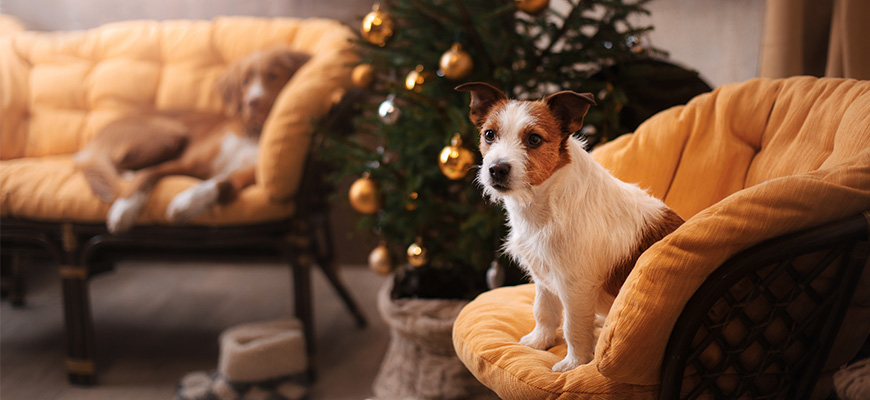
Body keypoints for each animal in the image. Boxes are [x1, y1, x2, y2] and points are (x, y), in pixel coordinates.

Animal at [76, 45, 310, 233]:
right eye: (245, 82)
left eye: (273, 76)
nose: (252, 102)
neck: (254, 132)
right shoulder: (189, 163)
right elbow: (146, 176)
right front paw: (123, 211)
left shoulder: (244, 177)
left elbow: (220, 183)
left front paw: (187, 202)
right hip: (169, 134)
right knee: (115, 164)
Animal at [460, 83, 684, 374]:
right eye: (489, 134)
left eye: (534, 139)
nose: (496, 169)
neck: (545, 203)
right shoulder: (543, 276)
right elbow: (544, 312)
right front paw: (539, 342)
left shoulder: (575, 287)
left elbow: (573, 327)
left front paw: (574, 363)